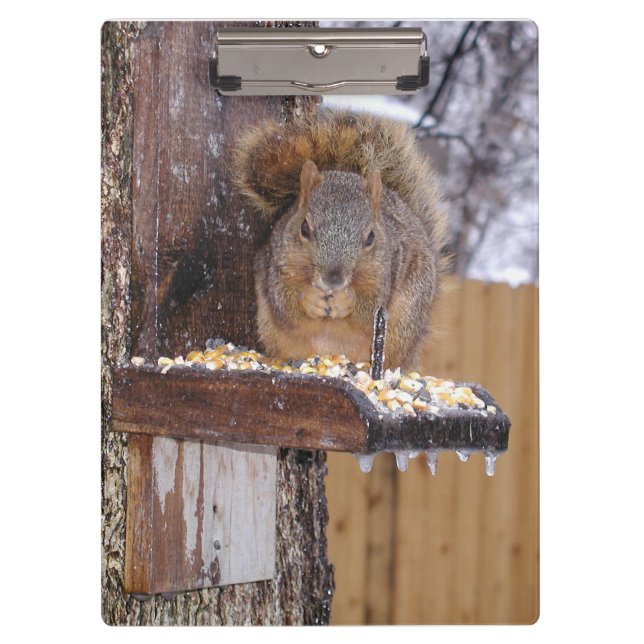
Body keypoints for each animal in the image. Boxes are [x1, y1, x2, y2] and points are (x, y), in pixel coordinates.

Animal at [232, 110, 449, 371]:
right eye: (304, 227)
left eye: (371, 237)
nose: (332, 279)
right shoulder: (278, 264)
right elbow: (284, 302)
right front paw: (310, 299)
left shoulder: (386, 272)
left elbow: (369, 308)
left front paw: (347, 301)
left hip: (405, 321)